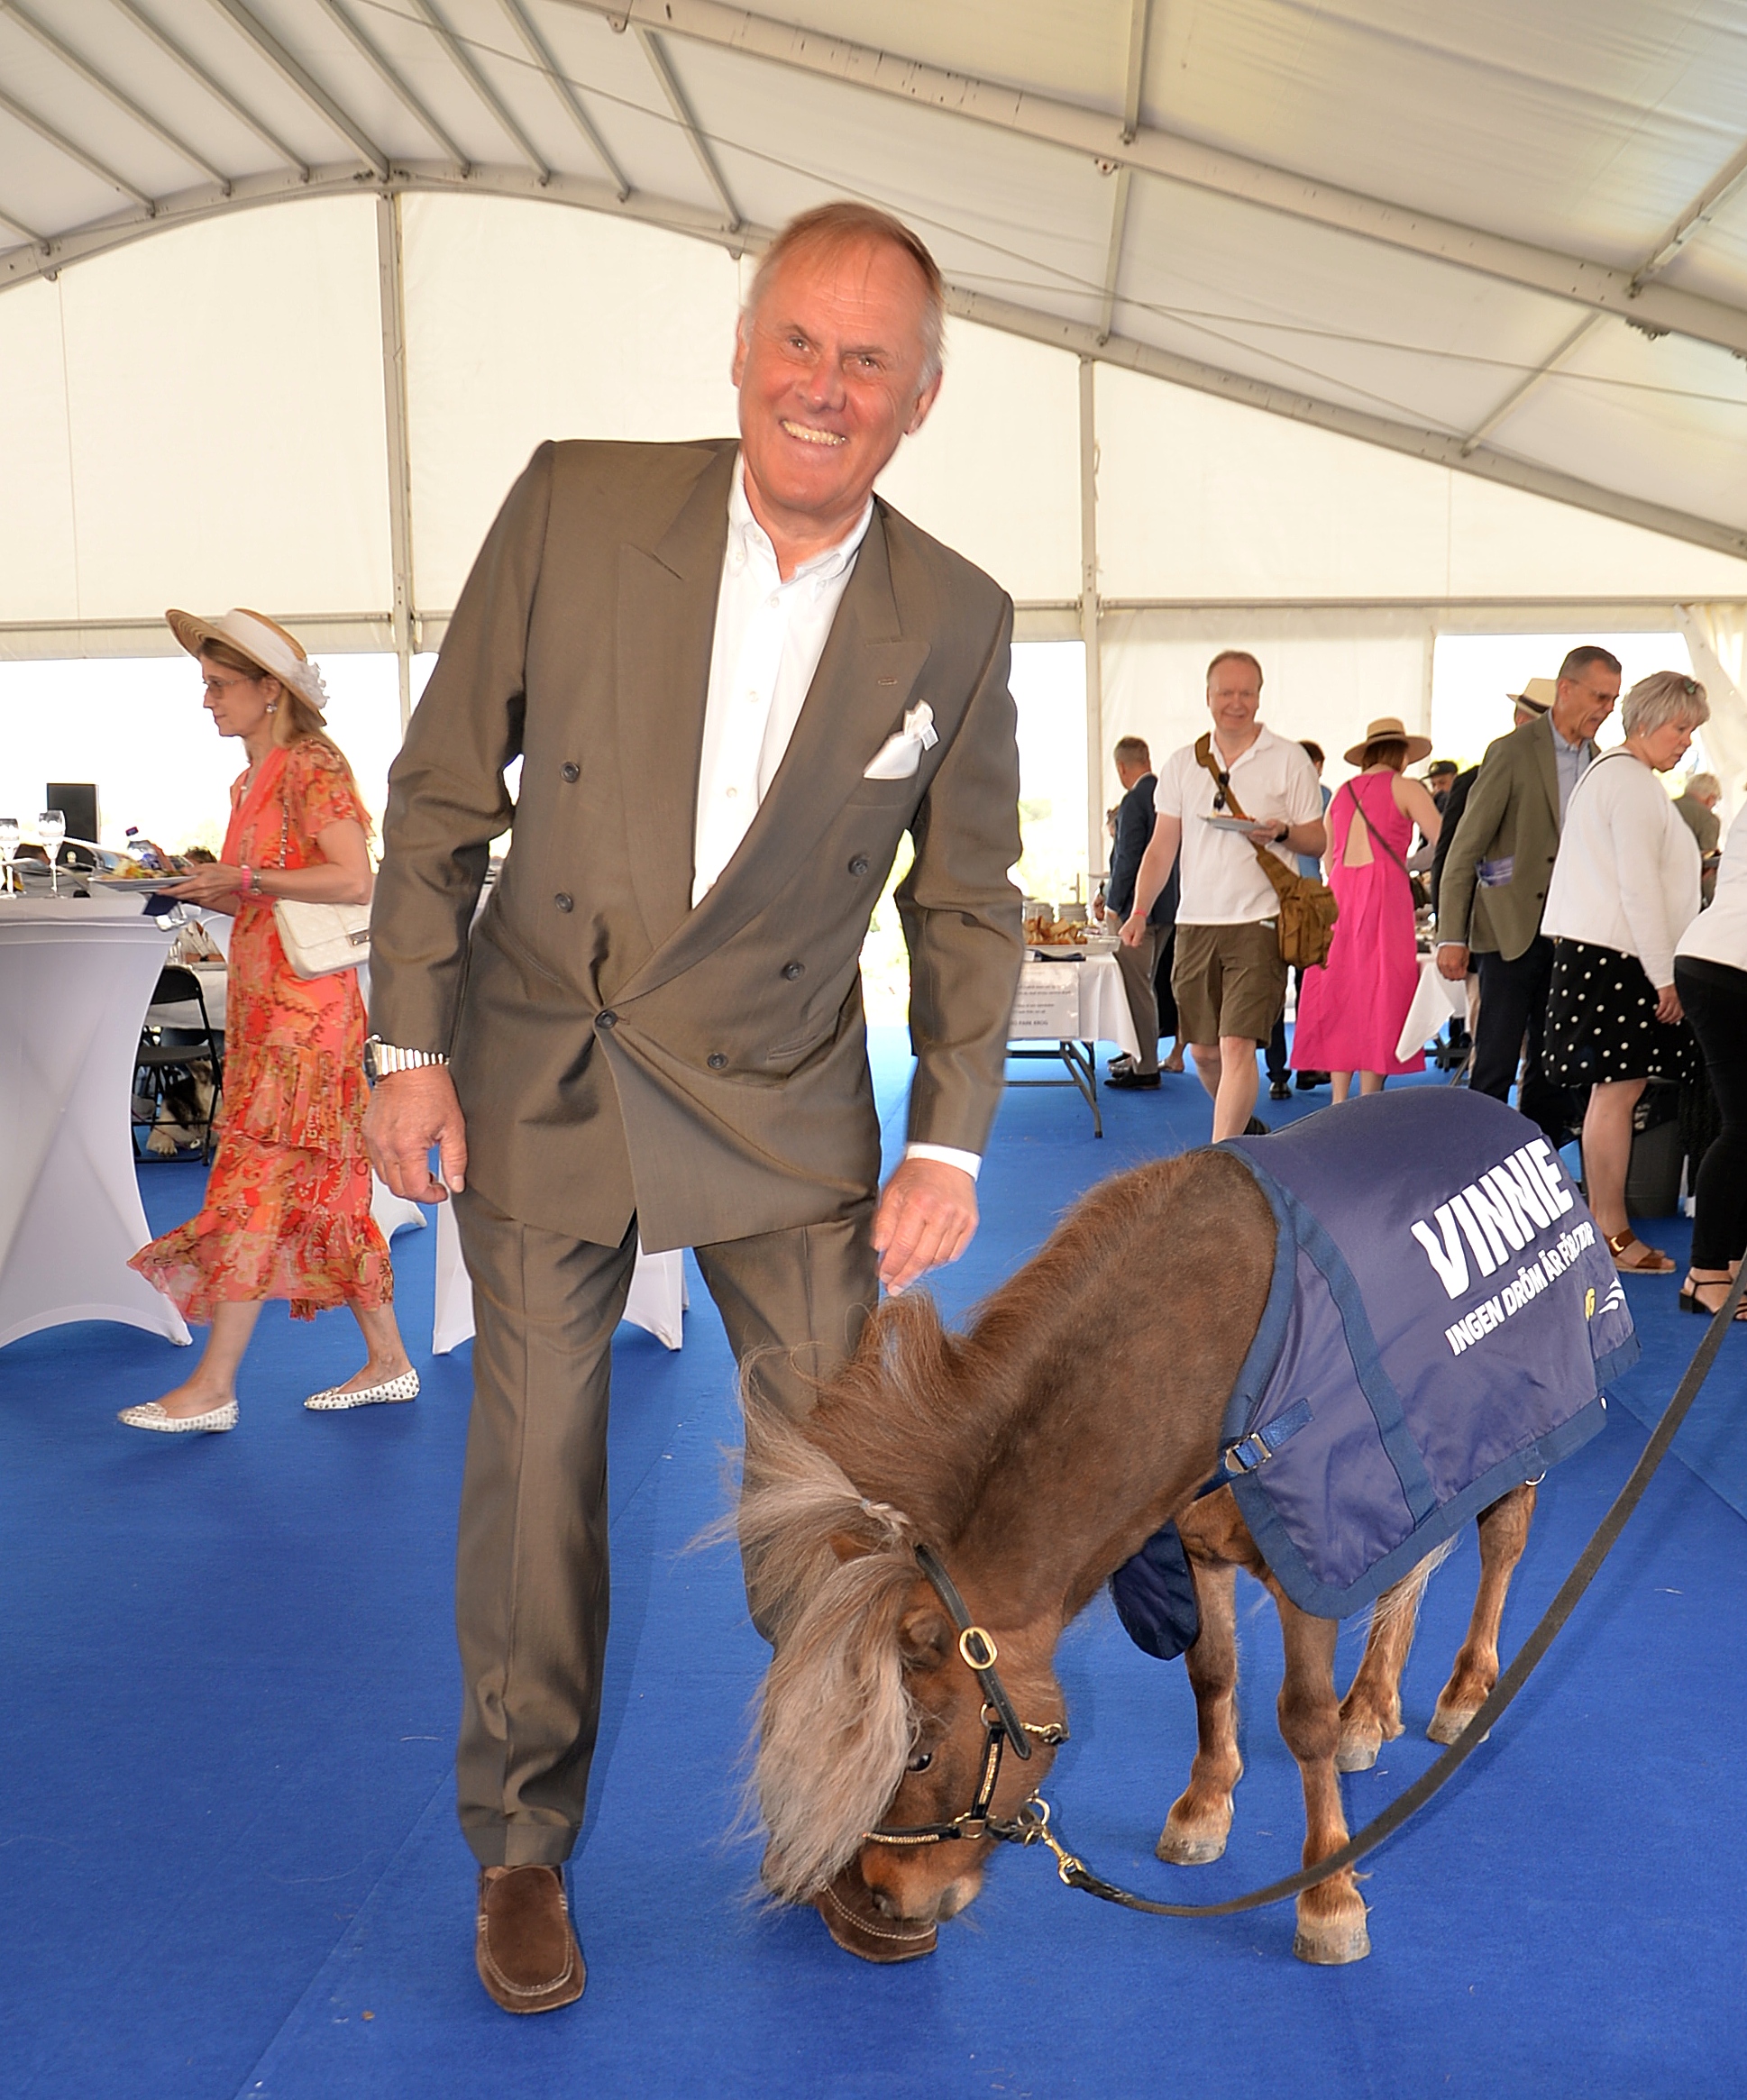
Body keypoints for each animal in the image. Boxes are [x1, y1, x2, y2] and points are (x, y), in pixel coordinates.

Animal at [736, 1140, 1564, 1969]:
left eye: (920, 1758)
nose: (883, 1896)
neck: (1203, 1368)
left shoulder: (1311, 1559)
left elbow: (1304, 1722)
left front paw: (1328, 1895)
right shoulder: (1196, 1554)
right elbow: (1212, 1676)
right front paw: (1205, 1807)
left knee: (1503, 1544)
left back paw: (1466, 1692)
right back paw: (1371, 1708)